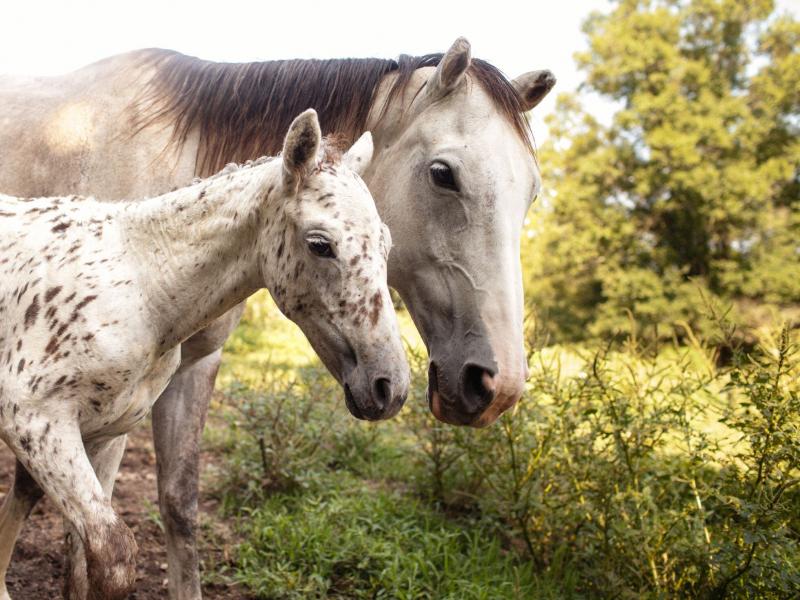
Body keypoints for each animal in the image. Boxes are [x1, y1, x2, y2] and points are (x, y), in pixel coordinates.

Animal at [0, 110, 410, 596]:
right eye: (320, 244)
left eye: (386, 243)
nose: (389, 387)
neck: (142, 287)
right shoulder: (36, 422)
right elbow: (113, 555)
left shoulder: (104, 434)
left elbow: (81, 565)